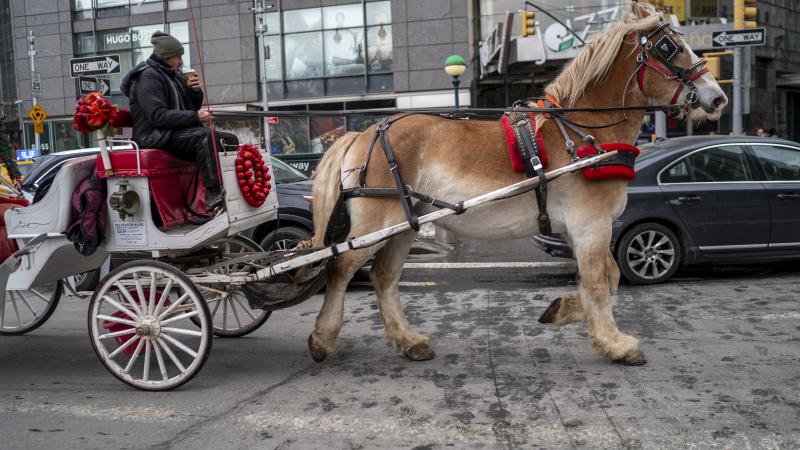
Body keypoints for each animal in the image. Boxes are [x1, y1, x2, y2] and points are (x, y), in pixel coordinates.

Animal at [307, 2, 727, 366]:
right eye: (672, 47)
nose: (719, 97)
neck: (582, 130)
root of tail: (362, 133)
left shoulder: (580, 229)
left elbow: (608, 278)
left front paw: (564, 311)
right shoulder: (591, 225)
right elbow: (598, 282)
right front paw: (616, 344)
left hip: (404, 225)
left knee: (384, 277)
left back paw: (408, 340)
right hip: (377, 223)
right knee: (340, 267)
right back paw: (323, 337)